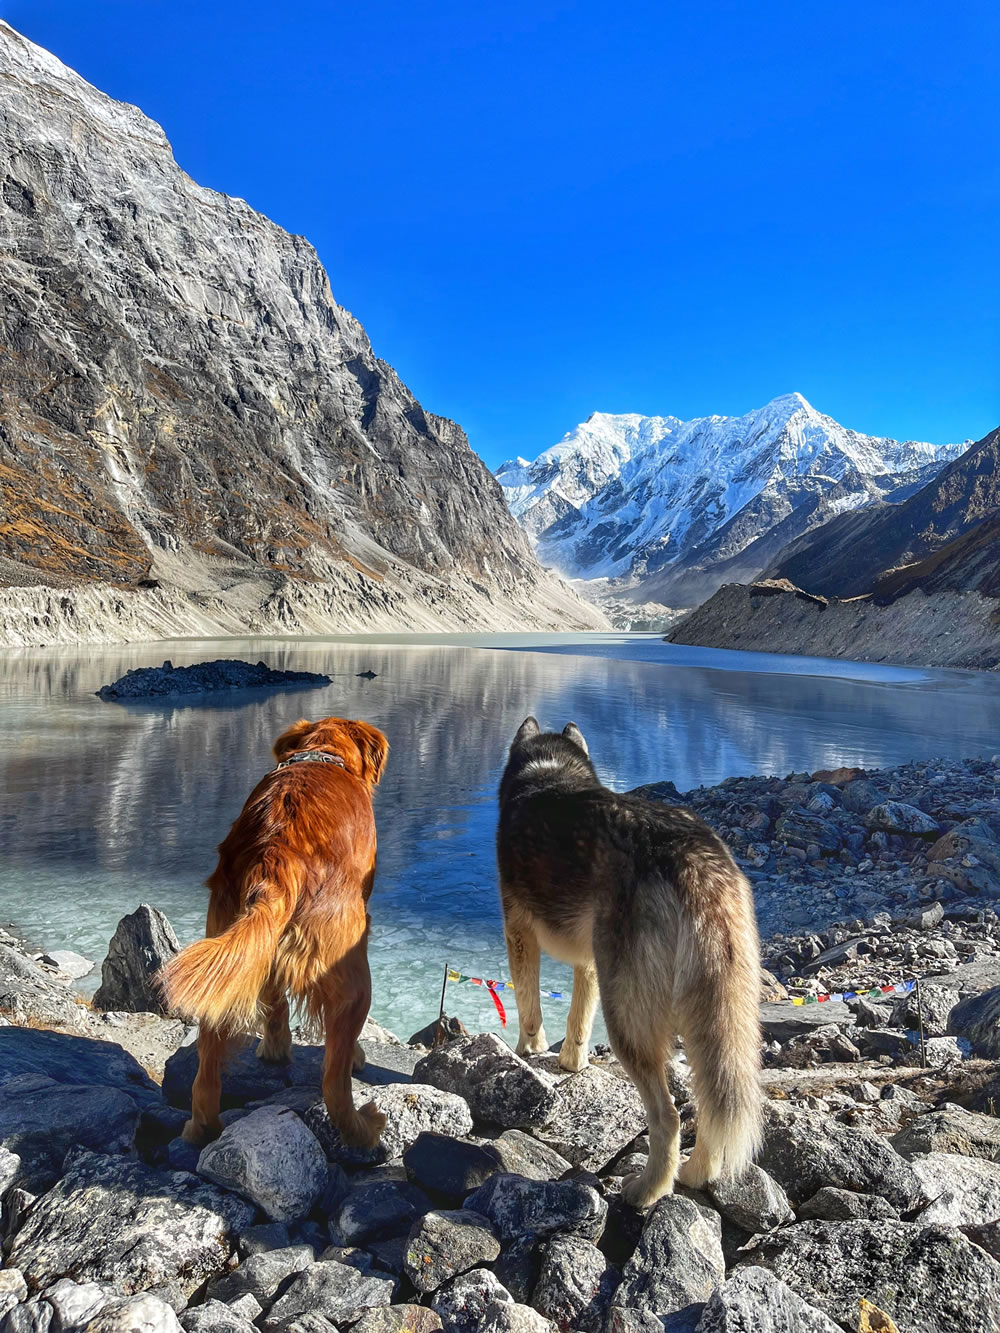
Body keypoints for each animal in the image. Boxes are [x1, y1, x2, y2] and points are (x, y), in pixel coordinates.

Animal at [160, 719, 386, 1146]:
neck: (322, 753)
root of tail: (277, 855)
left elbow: (274, 999)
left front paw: (275, 1048)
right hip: (353, 975)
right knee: (334, 1083)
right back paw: (363, 1129)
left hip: (222, 962)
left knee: (206, 1074)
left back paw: (202, 1128)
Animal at [498, 719, 762, 1210]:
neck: (550, 770)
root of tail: (693, 858)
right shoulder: (590, 963)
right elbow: (579, 1020)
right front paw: (572, 1062)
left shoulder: (518, 930)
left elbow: (529, 1008)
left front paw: (530, 1051)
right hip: (716, 1019)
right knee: (711, 1105)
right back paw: (697, 1173)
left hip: (628, 1020)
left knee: (668, 1117)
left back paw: (647, 1190)